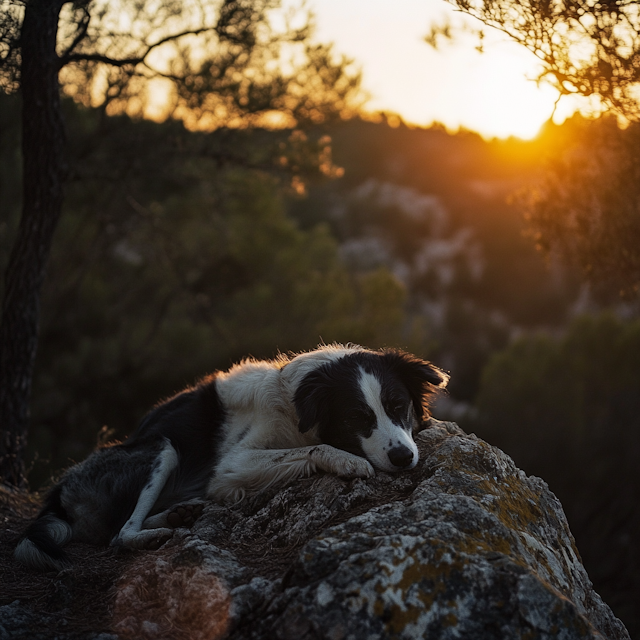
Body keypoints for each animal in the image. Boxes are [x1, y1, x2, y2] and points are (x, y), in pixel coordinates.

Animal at [13, 344, 444, 568]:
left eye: (399, 406)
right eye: (358, 418)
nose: (403, 458)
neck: (298, 404)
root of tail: (59, 492)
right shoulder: (230, 466)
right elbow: (313, 448)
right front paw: (346, 459)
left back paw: (180, 514)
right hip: (161, 448)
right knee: (120, 534)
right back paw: (157, 532)